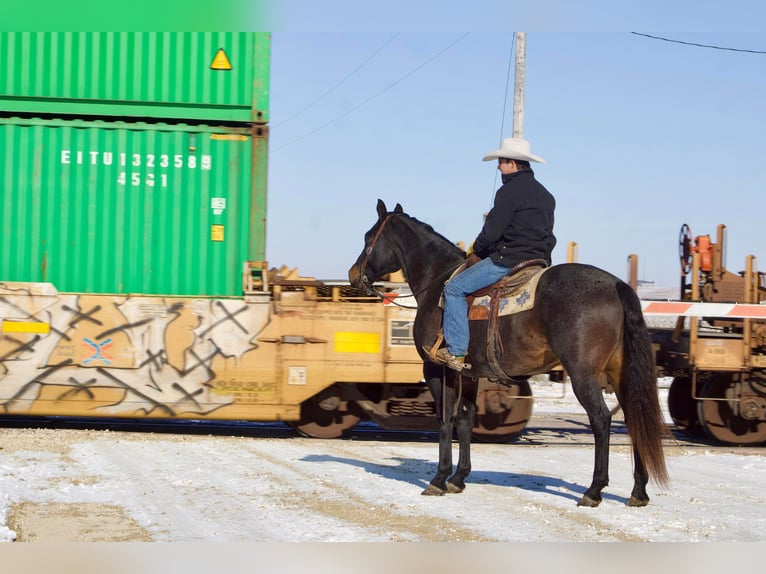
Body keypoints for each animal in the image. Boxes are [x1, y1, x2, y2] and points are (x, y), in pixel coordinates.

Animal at [352, 199, 668, 508]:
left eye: (368, 237)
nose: (353, 275)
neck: (437, 283)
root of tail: (617, 285)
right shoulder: (470, 374)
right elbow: (465, 421)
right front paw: (459, 478)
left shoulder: (438, 371)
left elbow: (445, 421)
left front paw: (439, 479)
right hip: (620, 375)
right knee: (634, 420)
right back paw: (639, 490)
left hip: (584, 376)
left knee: (601, 420)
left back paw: (593, 490)